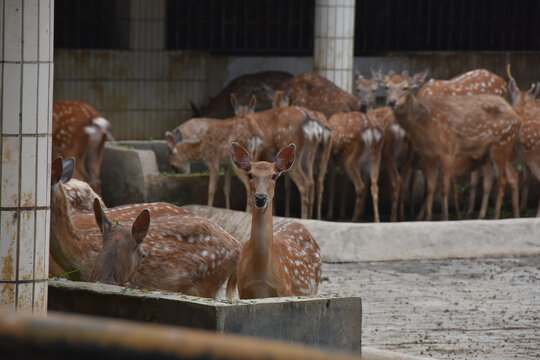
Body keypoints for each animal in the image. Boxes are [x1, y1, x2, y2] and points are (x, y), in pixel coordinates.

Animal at [227, 142, 320, 300]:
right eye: (250, 174)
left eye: (274, 176)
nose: (260, 197)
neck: (261, 278)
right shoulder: (243, 291)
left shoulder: (284, 291)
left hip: (315, 287)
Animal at [384, 71, 520, 219]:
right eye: (386, 87)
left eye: (405, 87)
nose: (391, 102)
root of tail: (516, 115)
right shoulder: (428, 156)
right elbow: (429, 188)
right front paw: (427, 219)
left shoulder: (448, 151)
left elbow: (444, 188)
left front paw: (445, 217)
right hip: (494, 150)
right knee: (510, 177)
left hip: (501, 143)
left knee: (501, 180)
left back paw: (492, 217)